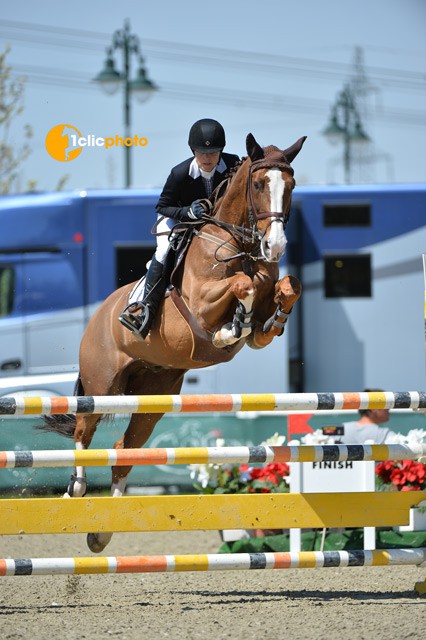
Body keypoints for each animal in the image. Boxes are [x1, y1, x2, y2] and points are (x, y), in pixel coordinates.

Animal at [43, 132, 304, 552]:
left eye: (292, 186)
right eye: (261, 184)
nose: (275, 246)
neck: (239, 244)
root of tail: (96, 317)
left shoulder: (270, 290)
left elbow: (286, 287)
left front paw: (261, 323)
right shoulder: (201, 304)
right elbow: (241, 285)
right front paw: (230, 329)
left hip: (153, 395)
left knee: (126, 449)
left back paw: (103, 532)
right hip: (101, 384)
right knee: (85, 431)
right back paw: (76, 489)